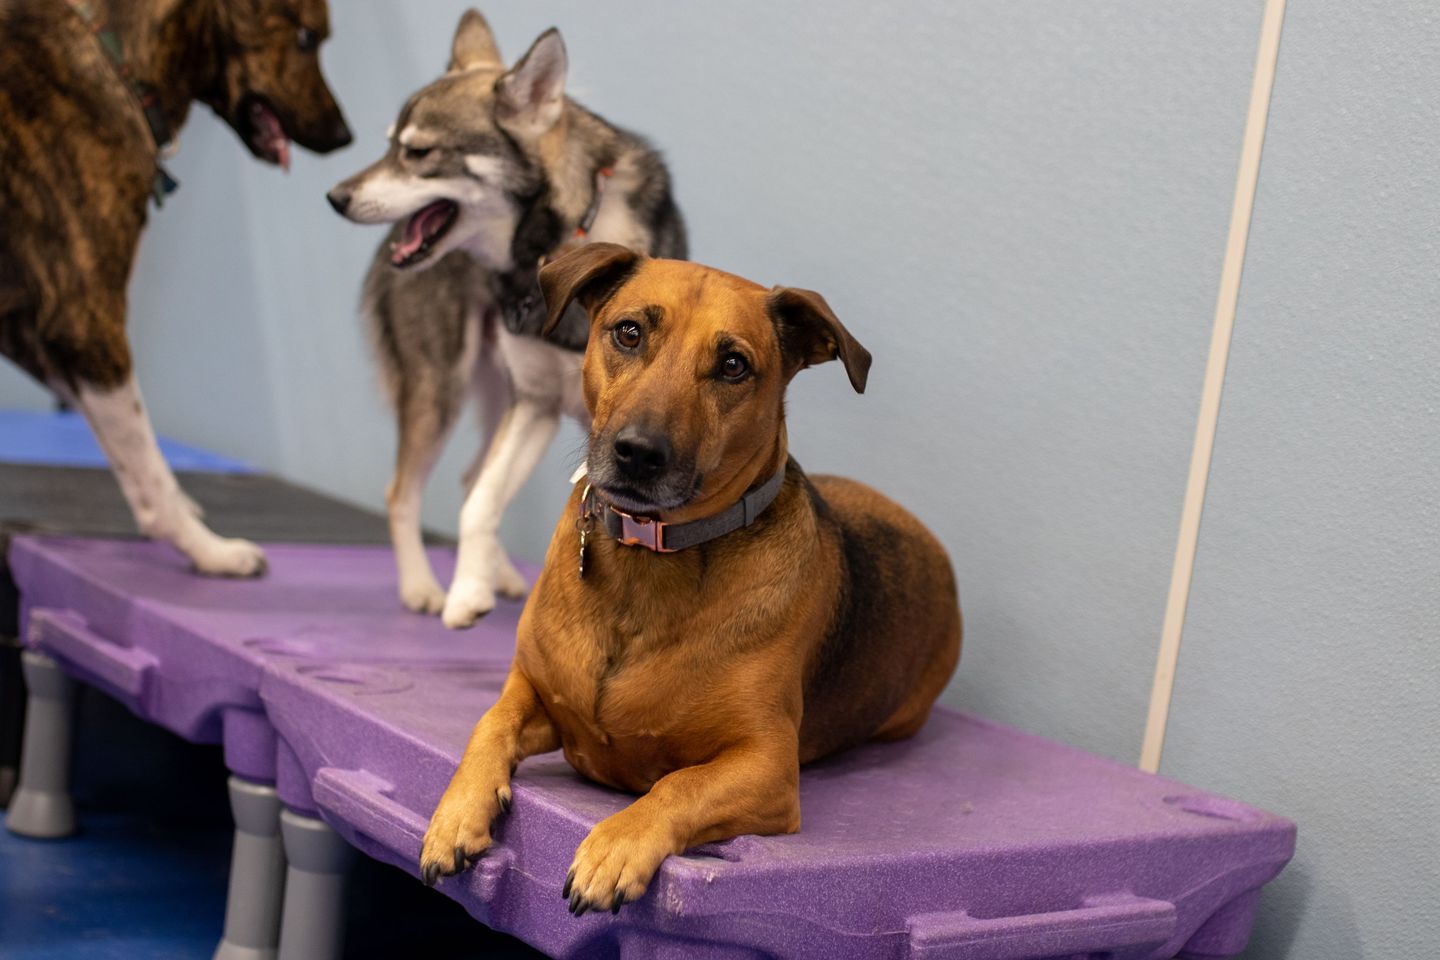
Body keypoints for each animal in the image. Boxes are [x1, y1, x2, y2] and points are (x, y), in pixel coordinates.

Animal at [0, 1, 348, 578]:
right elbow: (148, 464)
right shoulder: (86, 321)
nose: (344, 135)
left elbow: (131, 449)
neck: (116, 59)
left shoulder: (33, 332)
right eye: (304, 38)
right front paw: (207, 547)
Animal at [328, 9, 685, 630]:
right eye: (390, 146)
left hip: (492, 396)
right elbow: (478, 507)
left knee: (468, 477)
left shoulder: (568, 421)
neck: (557, 245)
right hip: (440, 391)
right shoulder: (536, 403)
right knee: (406, 492)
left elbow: (491, 500)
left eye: (418, 153)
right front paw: (466, 595)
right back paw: (423, 586)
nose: (335, 196)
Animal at [420, 241, 961, 915]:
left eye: (733, 365)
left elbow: (679, 784)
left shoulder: (767, 767)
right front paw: (455, 814)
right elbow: (487, 726)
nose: (638, 453)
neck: (648, 558)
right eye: (628, 332)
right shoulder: (534, 693)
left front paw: (616, 847)